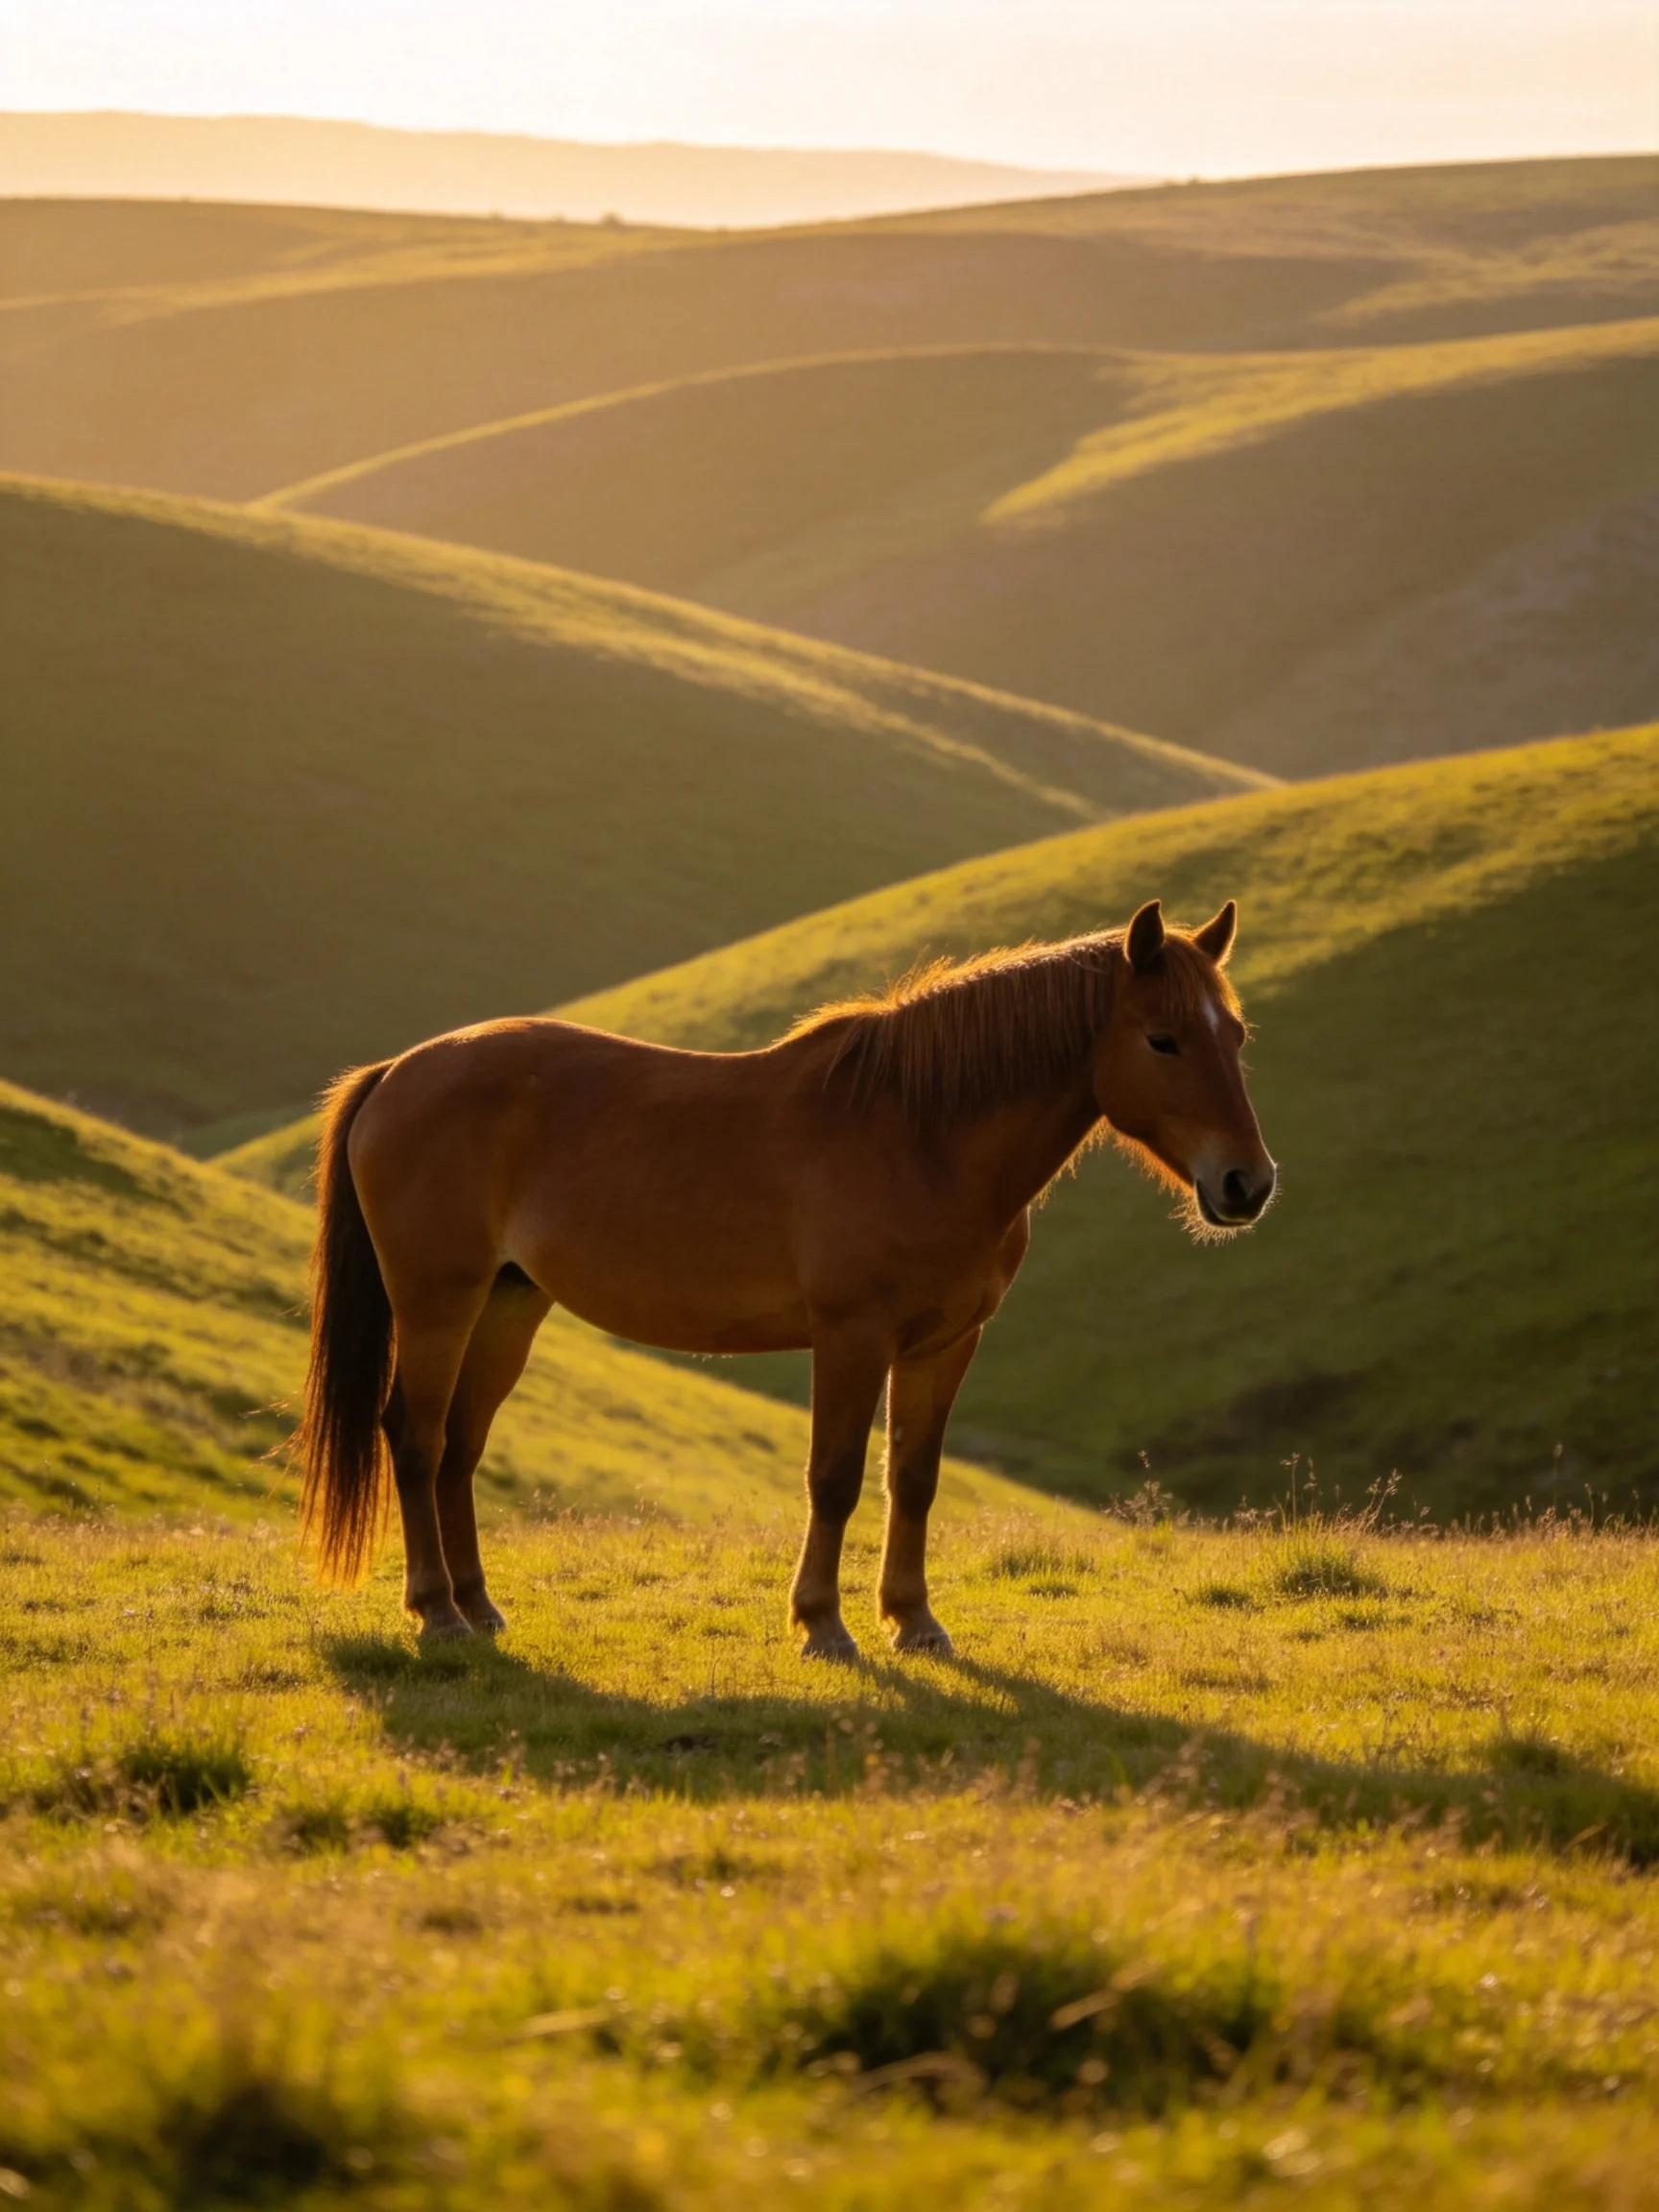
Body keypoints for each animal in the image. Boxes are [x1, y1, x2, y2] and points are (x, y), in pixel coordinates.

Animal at [298, 897, 1275, 1657]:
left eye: (1234, 1035)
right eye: (1162, 1040)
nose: (1247, 1184)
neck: (922, 1134)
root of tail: (398, 1072)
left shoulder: (946, 1345)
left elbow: (912, 1477)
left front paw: (914, 1622)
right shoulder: (851, 1338)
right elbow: (834, 1477)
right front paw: (823, 1625)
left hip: (508, 1305)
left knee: (461, 1445)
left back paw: (478, 1606)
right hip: (437, 1304)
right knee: (415, 1436)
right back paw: (436, 1614)